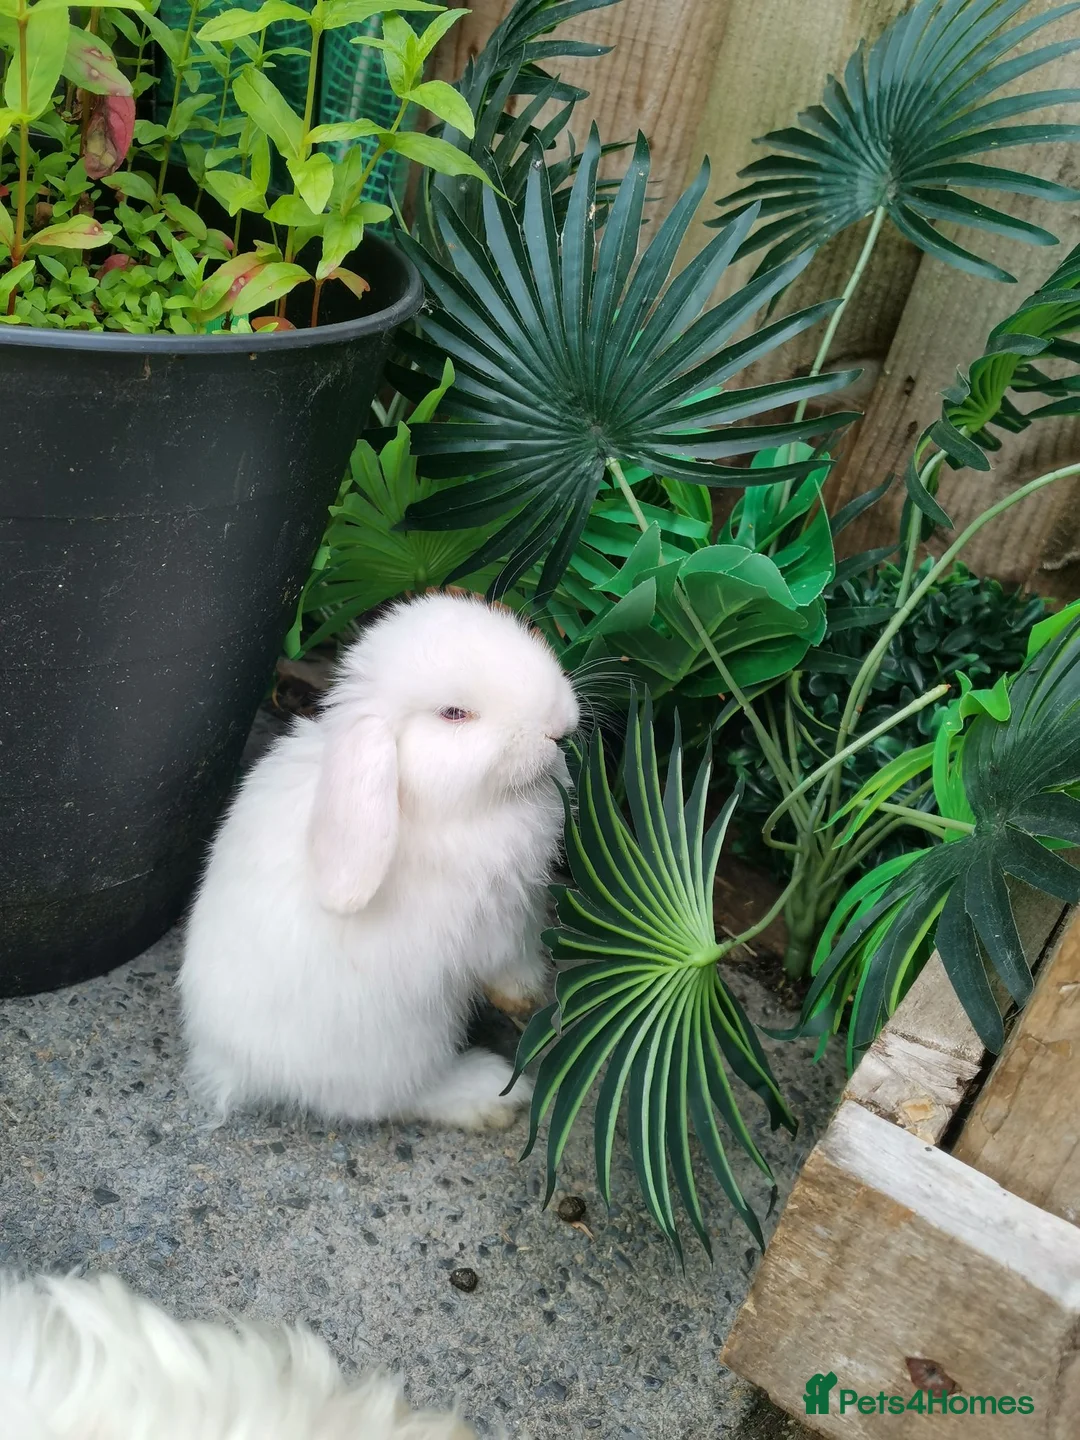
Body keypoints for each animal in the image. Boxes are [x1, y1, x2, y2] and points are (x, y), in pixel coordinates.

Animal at [179, 592, 579, 1132]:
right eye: (454, 713)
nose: (559, 726)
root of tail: (233, 1064)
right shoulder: (493, 919)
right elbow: (509, 958)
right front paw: (527, 995)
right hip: (408, 1039)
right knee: (393, 1097)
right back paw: (490, 1095)